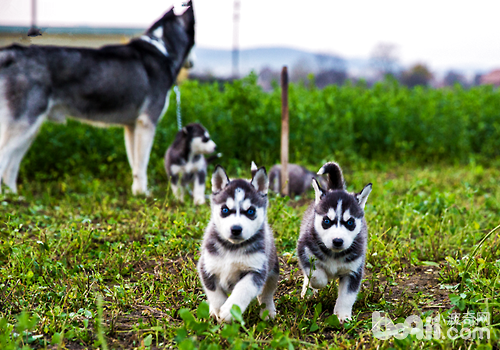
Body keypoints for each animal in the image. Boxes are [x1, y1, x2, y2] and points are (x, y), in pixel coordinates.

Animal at [0, 2, 195, 194]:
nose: (193, 63)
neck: (163, 49)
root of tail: (14, 53)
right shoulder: (147, 123)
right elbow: (141, 165)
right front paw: (143, 195)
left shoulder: (132, 126)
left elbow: (135, 165)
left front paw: (137, 193)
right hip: (23, 125)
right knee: (4, 159)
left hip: (29, 131)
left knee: (11, 166)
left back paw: (13, 195)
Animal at [197, 165, 280, 324]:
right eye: (225, 210)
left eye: (251, 211)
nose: (236, 229)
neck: (232, 248)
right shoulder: (207, 266)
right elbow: (214, 292)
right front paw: (218, 309)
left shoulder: (256, 270)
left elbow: (244, 288)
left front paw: (230, 310)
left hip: (273, 271)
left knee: (267, 292)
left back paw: (268, 310)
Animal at [296, 163, 372, 324]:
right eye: (326, 221)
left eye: (350, 222)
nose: (337, 241)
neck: (334, 254)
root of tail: (337, 188)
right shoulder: (304, 250)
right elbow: (316, 274)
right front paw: (319, 282)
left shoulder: (353, 270)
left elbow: (347, 296)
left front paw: (342, 315)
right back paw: (308, 290)